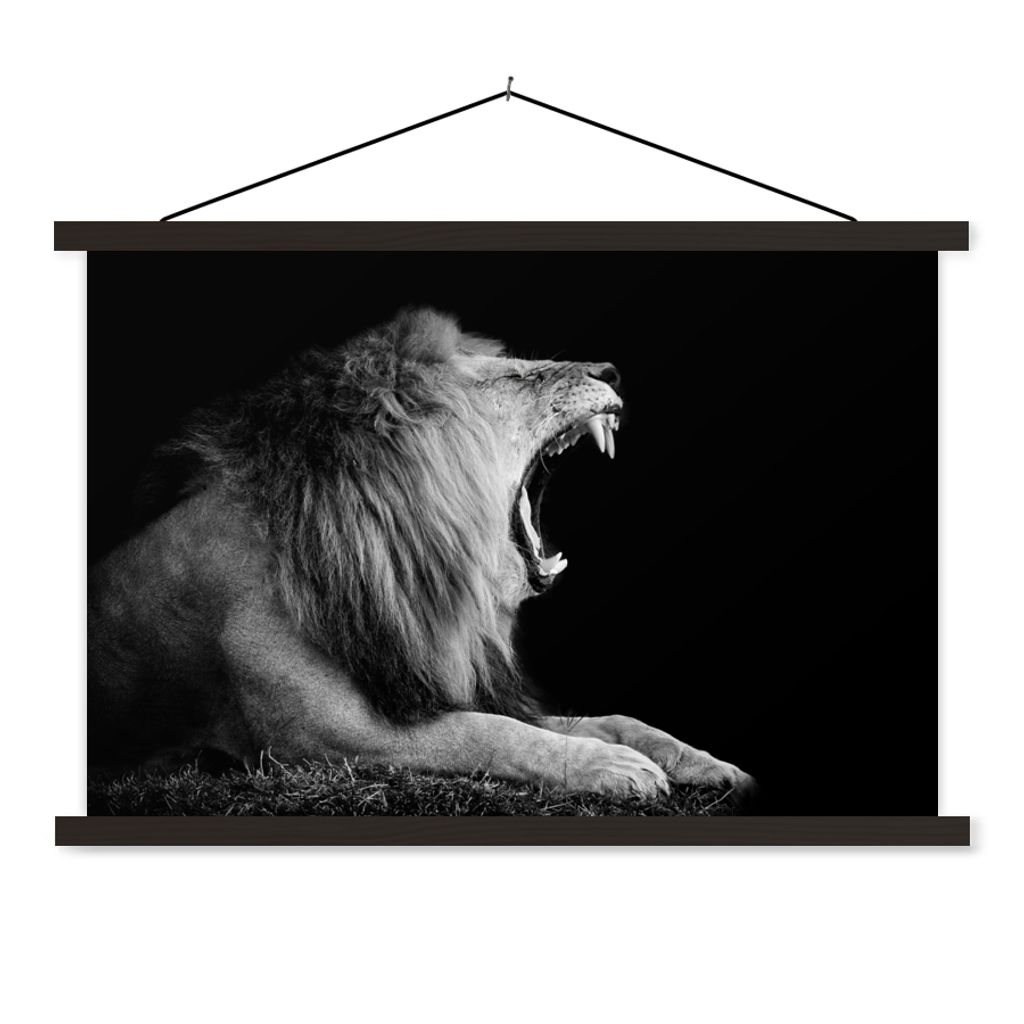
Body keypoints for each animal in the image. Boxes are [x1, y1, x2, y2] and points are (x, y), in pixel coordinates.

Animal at [88, 307, 754, 801]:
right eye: (512, 378)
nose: (612, 372)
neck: (400, 569)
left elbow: (610, 719)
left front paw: (701, 760)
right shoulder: (324, 740)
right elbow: (490, 735)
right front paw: (614, 768)